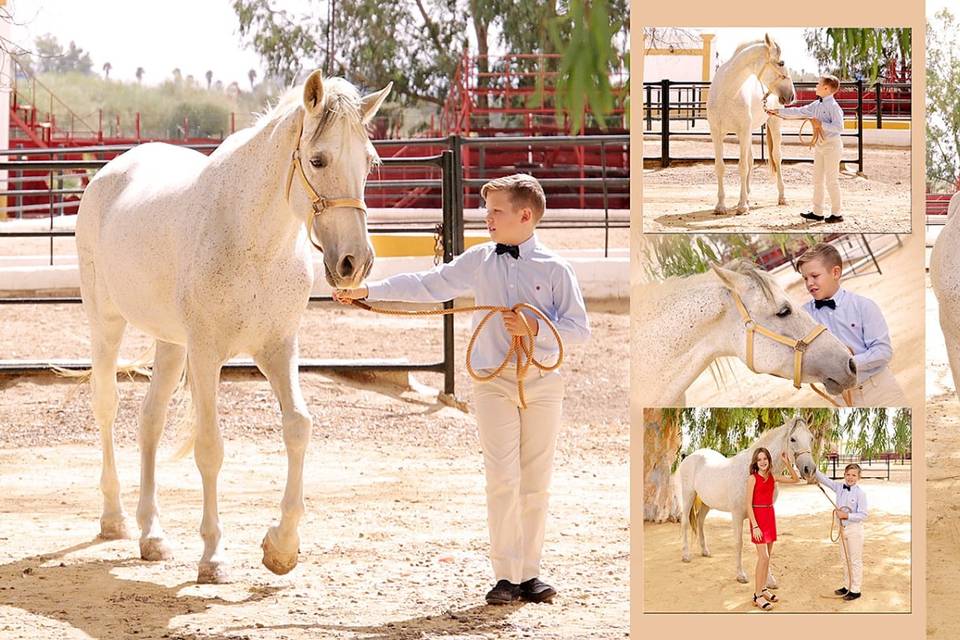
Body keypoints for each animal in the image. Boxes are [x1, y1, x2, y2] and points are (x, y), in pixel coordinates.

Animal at [75, 71, 390, 584]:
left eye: (369, 162)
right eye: (318, 159)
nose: (353, 263)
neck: (254, 241)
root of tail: (109, 173)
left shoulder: (279, 349)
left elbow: (298, 427)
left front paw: (281, 546)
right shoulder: (206, 355)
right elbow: (210, 447)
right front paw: (213, 556)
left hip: (169, 343)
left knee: (149, 420)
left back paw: (152, 534)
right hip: (106, 324)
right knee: (107, 407)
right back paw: (115, 518)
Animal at [676, 418, 816, 588]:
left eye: (811, 438)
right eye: (793, 439)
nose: (810, 469)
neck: (752, 472)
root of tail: (690, 456)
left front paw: (769, 580)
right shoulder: (736, 515)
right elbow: (739, 543)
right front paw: (741, 575)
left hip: (706, 502)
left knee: (700, 521)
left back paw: (705, 551)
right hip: (688, 495)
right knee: (685, 522)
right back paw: (686, 555)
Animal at [704, 34, 796, 215]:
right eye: (781, 63)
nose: (791, 95)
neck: (727, 93)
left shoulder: (743, 131)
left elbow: (742, 166)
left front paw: (742, 206)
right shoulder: (717, 133)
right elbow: (720, 167)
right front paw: (721, 206)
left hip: (773, 124)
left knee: (777, 157)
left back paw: (781, 197)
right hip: (749, 132)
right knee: (751, 160)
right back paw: (746, 195)